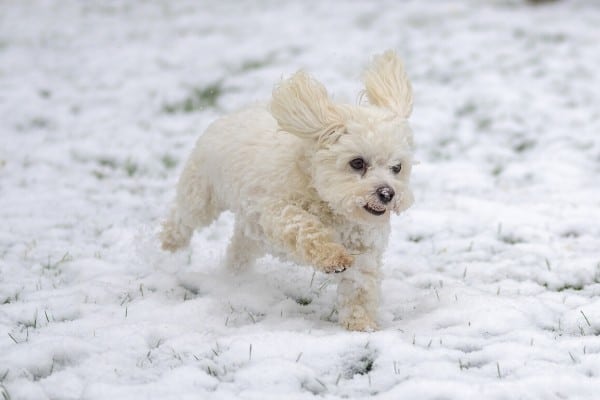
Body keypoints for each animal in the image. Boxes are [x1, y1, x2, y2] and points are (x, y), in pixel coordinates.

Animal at [159, 50, 414, 332]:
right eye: (357, 162)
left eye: (397, 167)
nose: (387, 194)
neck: (328, 203)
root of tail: (238, 112)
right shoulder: (276, 211)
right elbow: (305, 228)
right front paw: (332, 256)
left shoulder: (365, 246)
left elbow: (360, 286)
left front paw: (362, 324)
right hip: (202, 192)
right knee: (184, 217)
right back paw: (170, 242)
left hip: (251, 228)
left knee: (239, 248)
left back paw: (235, 278)